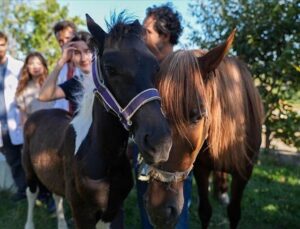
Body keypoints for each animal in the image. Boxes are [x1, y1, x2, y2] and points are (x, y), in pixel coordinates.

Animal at [21, 13, 171, 229]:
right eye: (110, 67)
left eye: (156, 67)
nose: (160, 143)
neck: (104, 157)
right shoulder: (82, 213)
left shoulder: (114, 210)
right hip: (29, 172)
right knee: (31, 194)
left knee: (56, 195)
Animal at [142, 30, 264, 229]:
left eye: (197, 117)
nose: (159, 212)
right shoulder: (201, 169)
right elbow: (205, 211)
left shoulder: (244, 173)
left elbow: (234, 213)